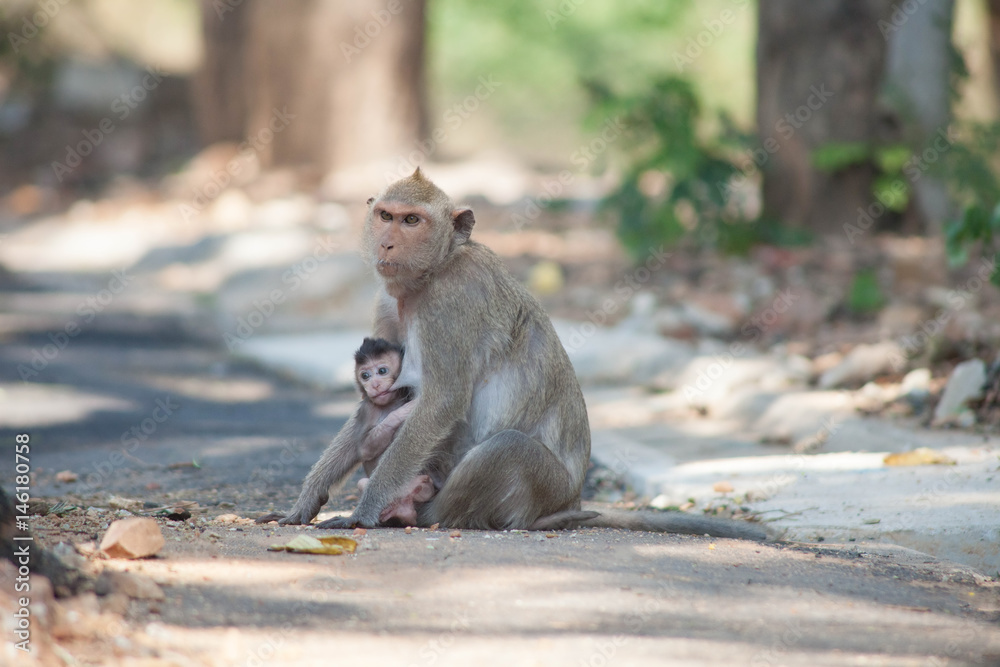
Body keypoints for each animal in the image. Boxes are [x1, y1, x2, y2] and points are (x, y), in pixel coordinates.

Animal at [356, 340, 438, 528]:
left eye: (382, 371)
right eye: (365, 375)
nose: (374, 384)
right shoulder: (367, 409)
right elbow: (364, 449)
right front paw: (403, 412)